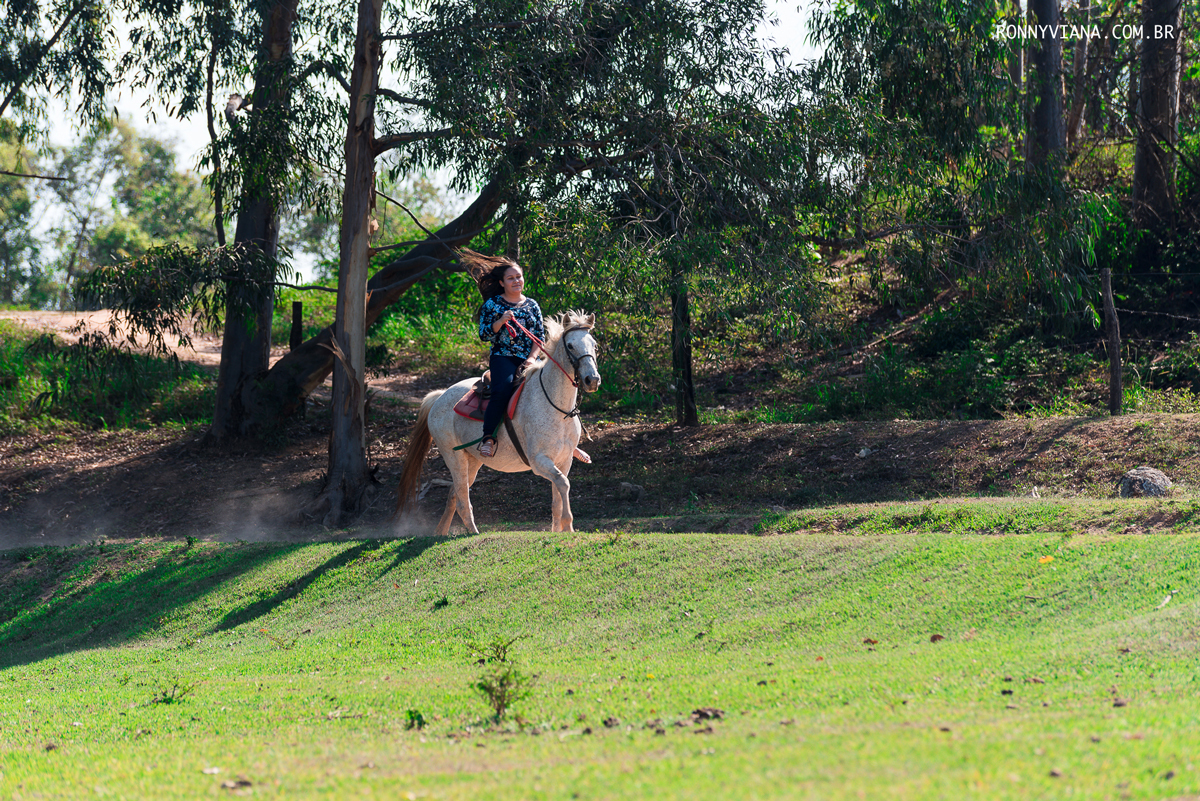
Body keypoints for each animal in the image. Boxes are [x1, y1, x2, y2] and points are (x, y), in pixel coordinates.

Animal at [394, 310, 601, 535]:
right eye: (570, 345)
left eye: (594, 345)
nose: (592, 380)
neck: (556, 407)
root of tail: (440, 396)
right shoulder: (539, 462)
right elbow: (563, 484)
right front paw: (569, 526)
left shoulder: (564, 460)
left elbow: (558, 495)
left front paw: (559, 529)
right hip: (454, 457)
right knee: (462, 500)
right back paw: (473, 532)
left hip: (473, 461)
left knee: (454, 494)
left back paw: (440, 533)